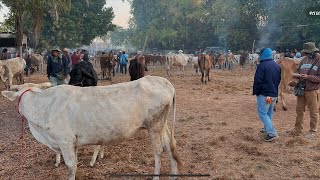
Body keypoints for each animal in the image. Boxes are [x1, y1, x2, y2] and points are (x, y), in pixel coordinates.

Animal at [1, 76, 180, 180]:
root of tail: (163, 81)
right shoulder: (73, 144)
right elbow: (75, 163)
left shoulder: (65, 141)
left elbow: (71, 167)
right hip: (162, 125)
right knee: (170, 146)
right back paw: (174, 174)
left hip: (154, 125)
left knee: (158, 151)